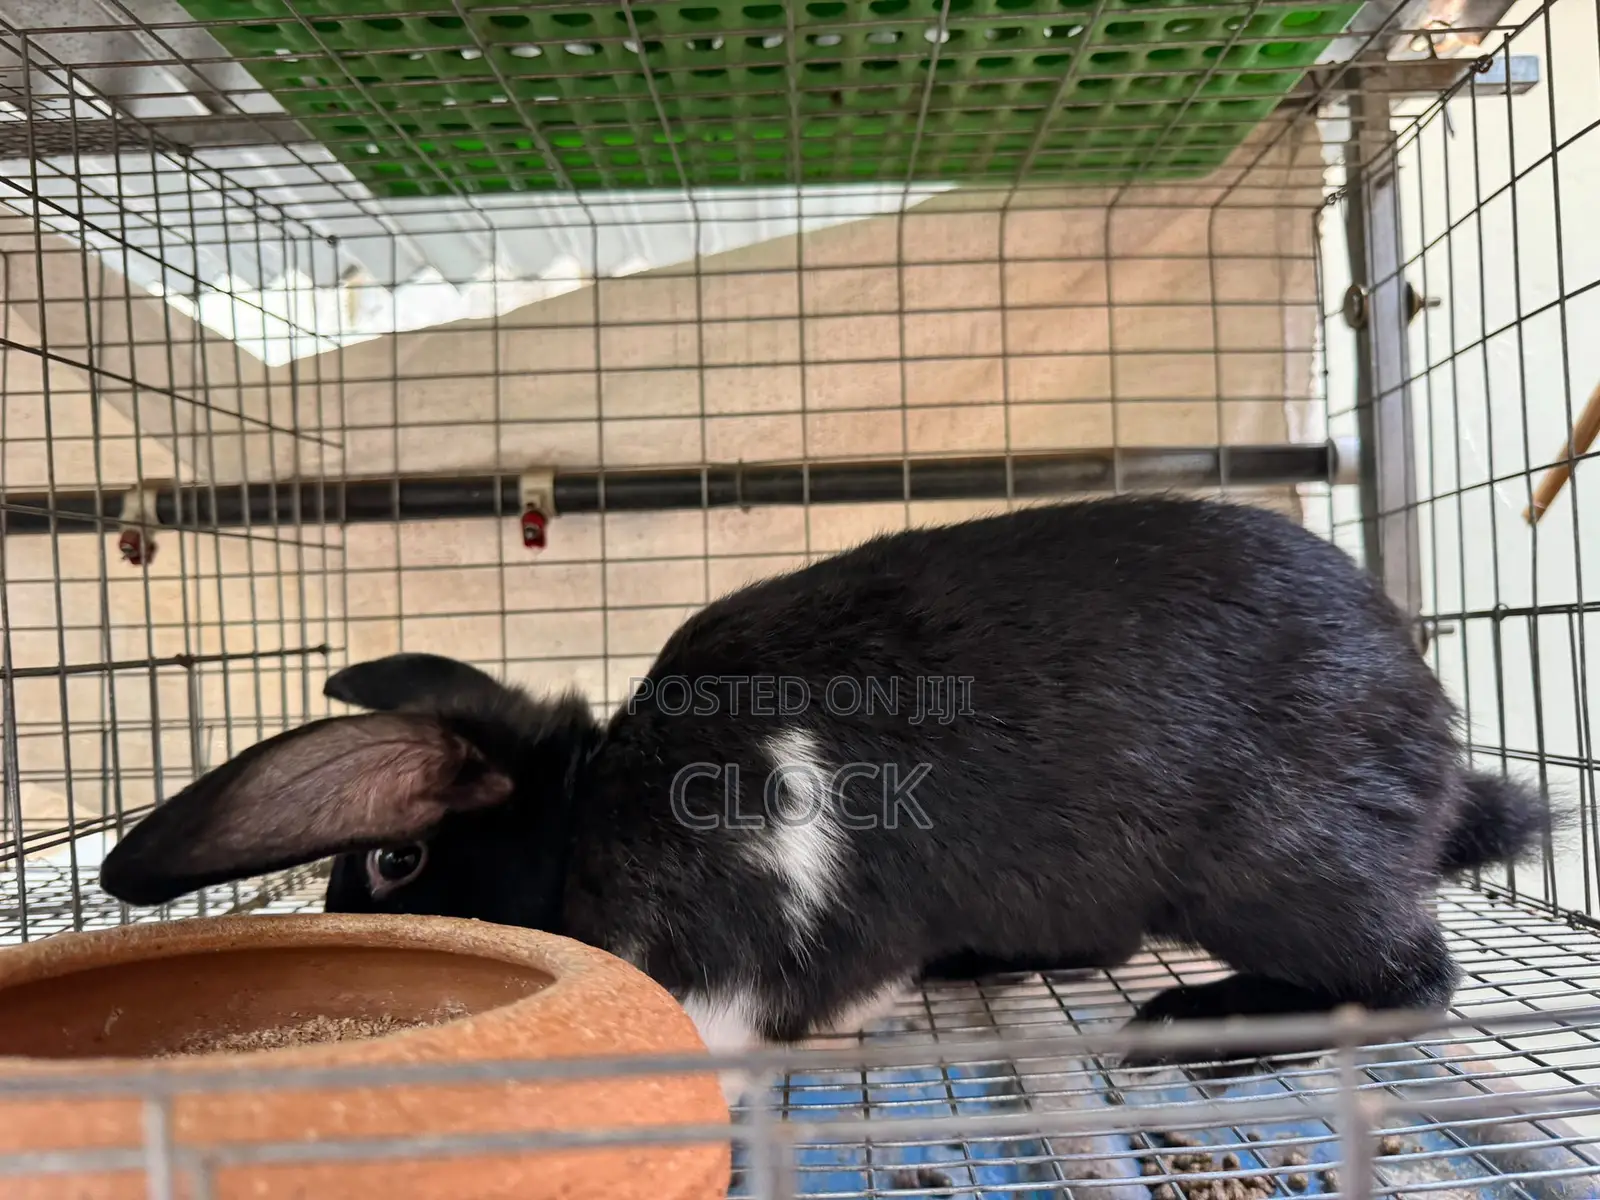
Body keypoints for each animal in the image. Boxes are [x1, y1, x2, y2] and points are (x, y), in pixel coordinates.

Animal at [98, 495, 1548, 1072]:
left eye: (394, 860)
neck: (593, 812)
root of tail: (1431, 738)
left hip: (1276, 873)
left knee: (1406, 982)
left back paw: (1203, 1021)